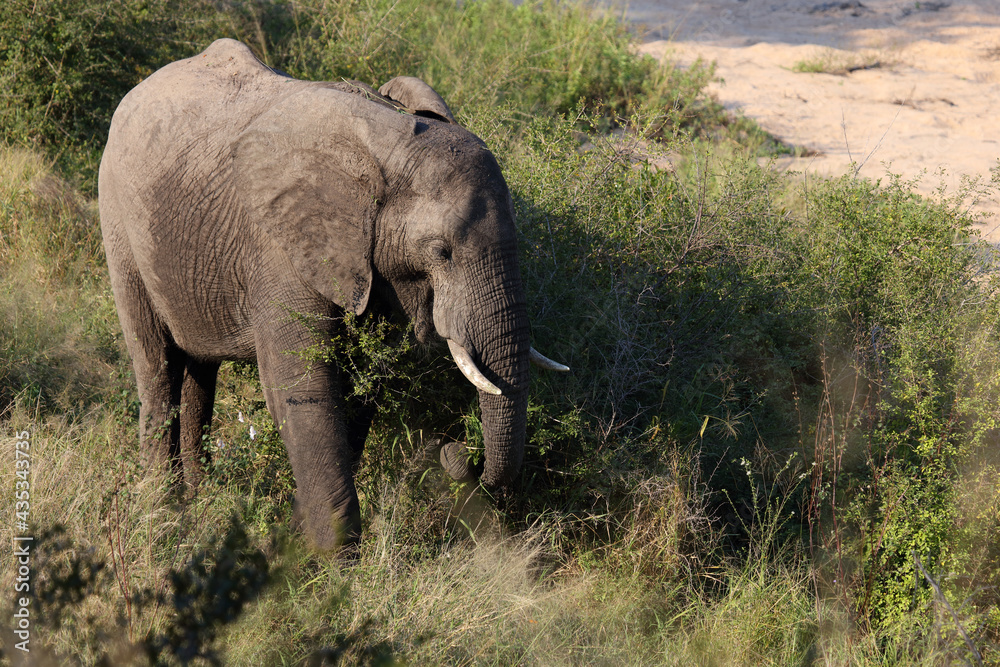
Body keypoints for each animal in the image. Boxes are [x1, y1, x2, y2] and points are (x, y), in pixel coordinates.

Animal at [98, 38, 567, 552]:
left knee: (200, 372)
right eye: (441, 252)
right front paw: (333, 563)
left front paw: (298, 540)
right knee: (157, 366)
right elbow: (305, 390)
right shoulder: (278, 248)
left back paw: (200, 503)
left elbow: (362, 389)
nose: (459, 451)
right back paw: (163, 517)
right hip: (119, 223)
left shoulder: (373, 266)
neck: (386, 145)